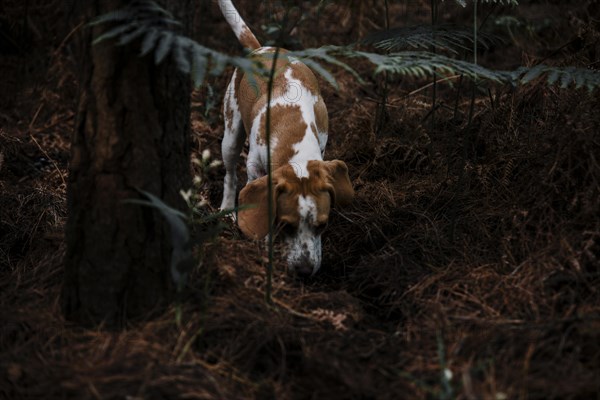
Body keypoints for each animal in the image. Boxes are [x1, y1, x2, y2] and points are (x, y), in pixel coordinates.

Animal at [218, 0, 354, 276]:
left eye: (322, 225)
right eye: (286, 225)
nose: (305, 270)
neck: (295, 138)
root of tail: (260, 48)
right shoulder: (255, 169)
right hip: (230, 134)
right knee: (230, 174)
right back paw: (227, 208)